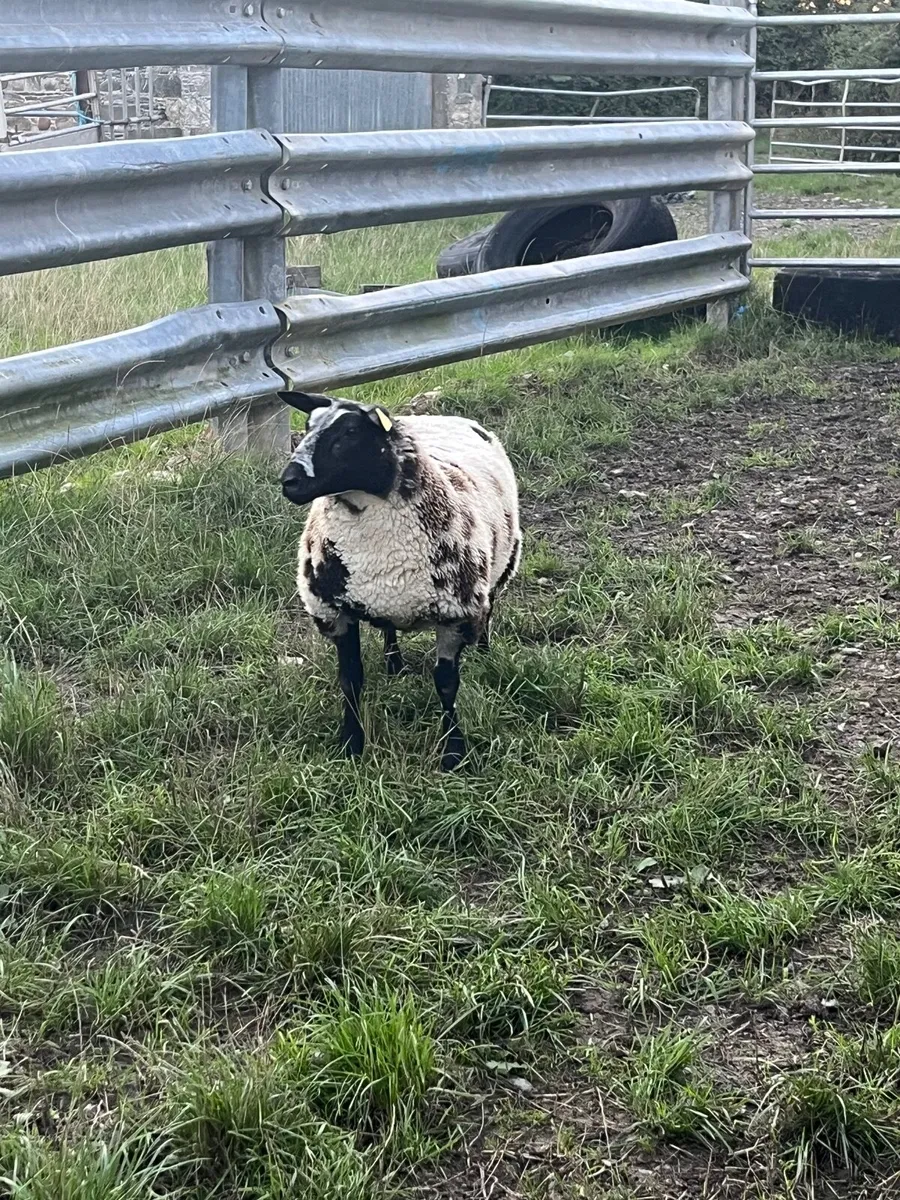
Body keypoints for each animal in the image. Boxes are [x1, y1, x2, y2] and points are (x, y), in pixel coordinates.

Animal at [279, 391, 521, 771]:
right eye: (307, 426)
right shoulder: (334, 611)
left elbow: (446, 684)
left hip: (502, 563)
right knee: (389, 627)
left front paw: (453, 753)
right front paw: (351, 744)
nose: (289, 481)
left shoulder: (455, 613)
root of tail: (436, 417)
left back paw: (484, 650)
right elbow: (350, 680)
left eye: (350, 432)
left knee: (491, 605)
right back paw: (393, 662)